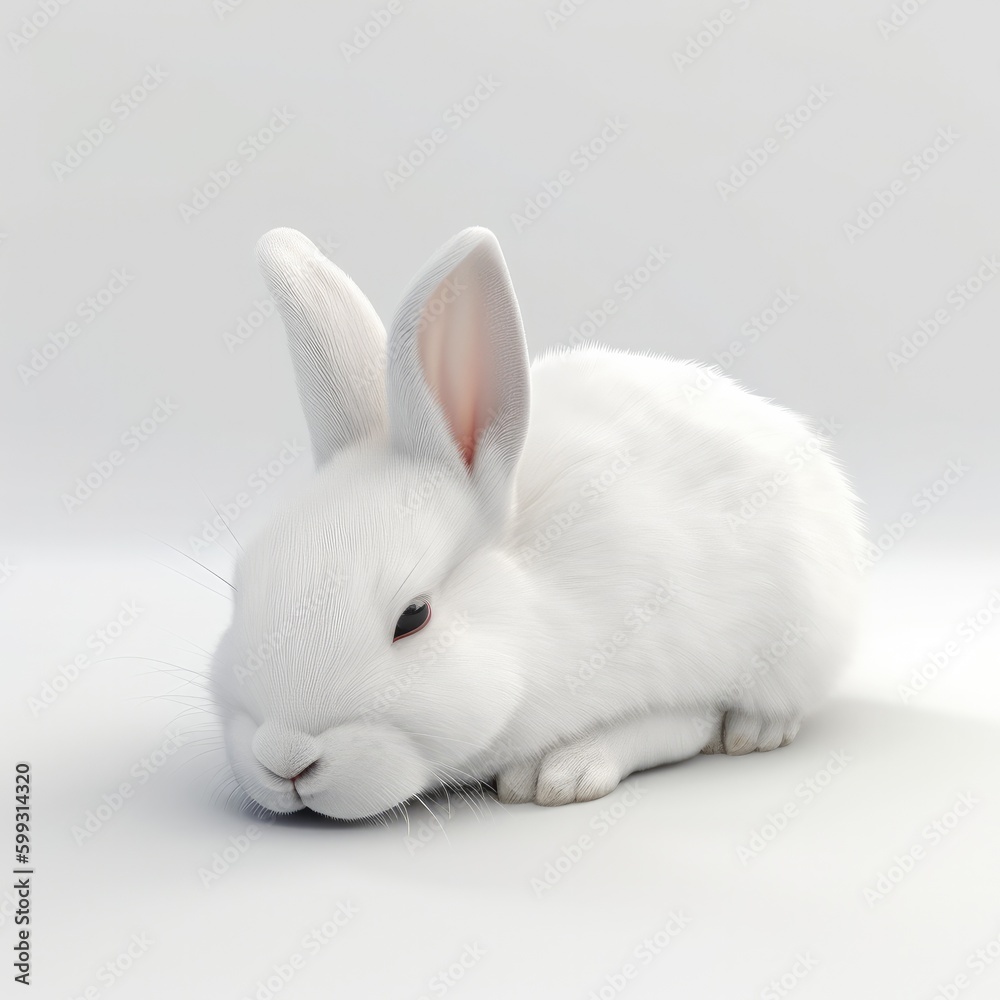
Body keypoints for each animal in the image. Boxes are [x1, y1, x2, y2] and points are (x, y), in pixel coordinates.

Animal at [209, 225, 865, 821]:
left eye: (414, 617)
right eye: (239, 589)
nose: (284, 758)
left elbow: (678, 725)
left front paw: (562, 773)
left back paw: (758, 729)